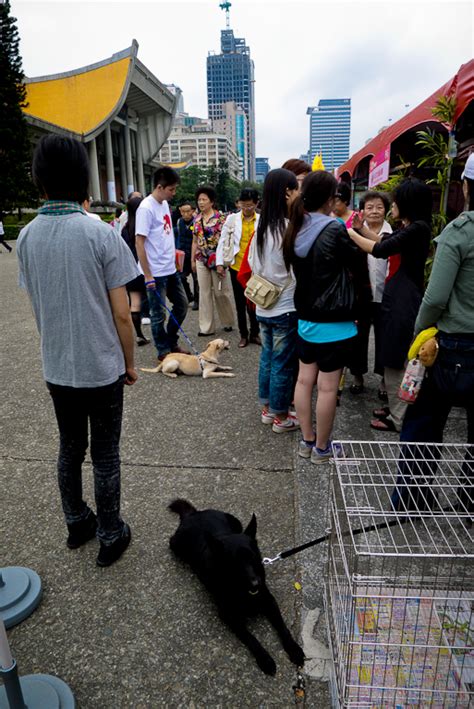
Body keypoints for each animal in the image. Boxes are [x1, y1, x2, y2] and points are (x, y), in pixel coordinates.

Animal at [168, 498, 306, 676]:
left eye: (253, 558)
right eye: (235, 563)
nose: (256, 583)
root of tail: (194, 513)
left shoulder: (269, 601)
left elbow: (282, 627)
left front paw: (294, 649)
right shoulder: (229, 616)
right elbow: (251, 638)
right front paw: (265, 658)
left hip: (236, 521)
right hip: (175, 546)